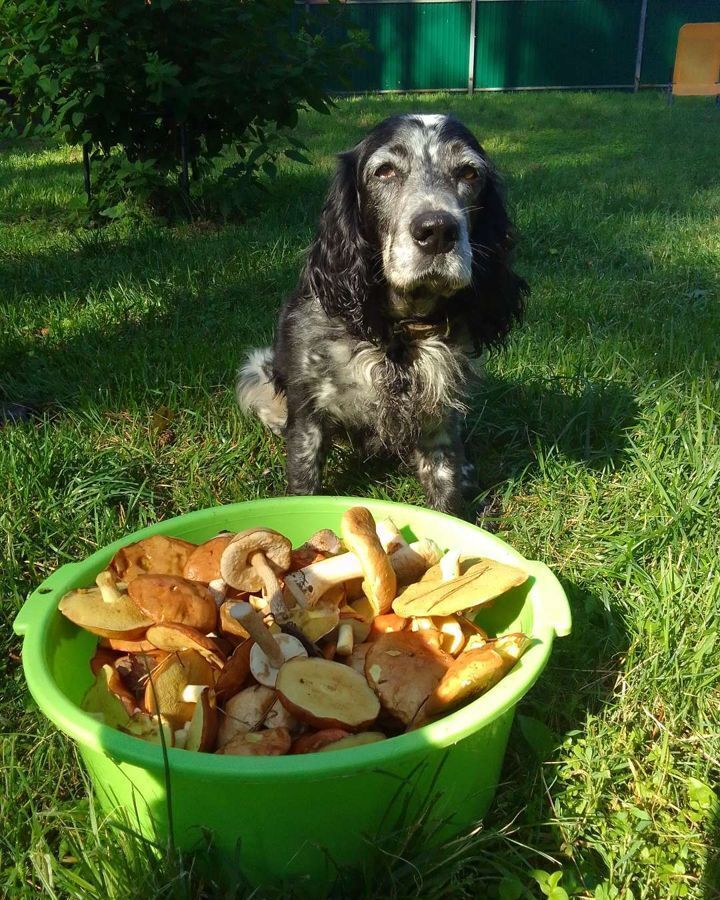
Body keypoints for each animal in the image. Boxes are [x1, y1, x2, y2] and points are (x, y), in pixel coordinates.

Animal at [239, 116, 524, 516]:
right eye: (385, 170)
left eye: (469, 172)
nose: (437, 230)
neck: (397, 334)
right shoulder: (309, 412)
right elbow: (304, 475)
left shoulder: (440, 416)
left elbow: (446, 484)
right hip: (256, 371)